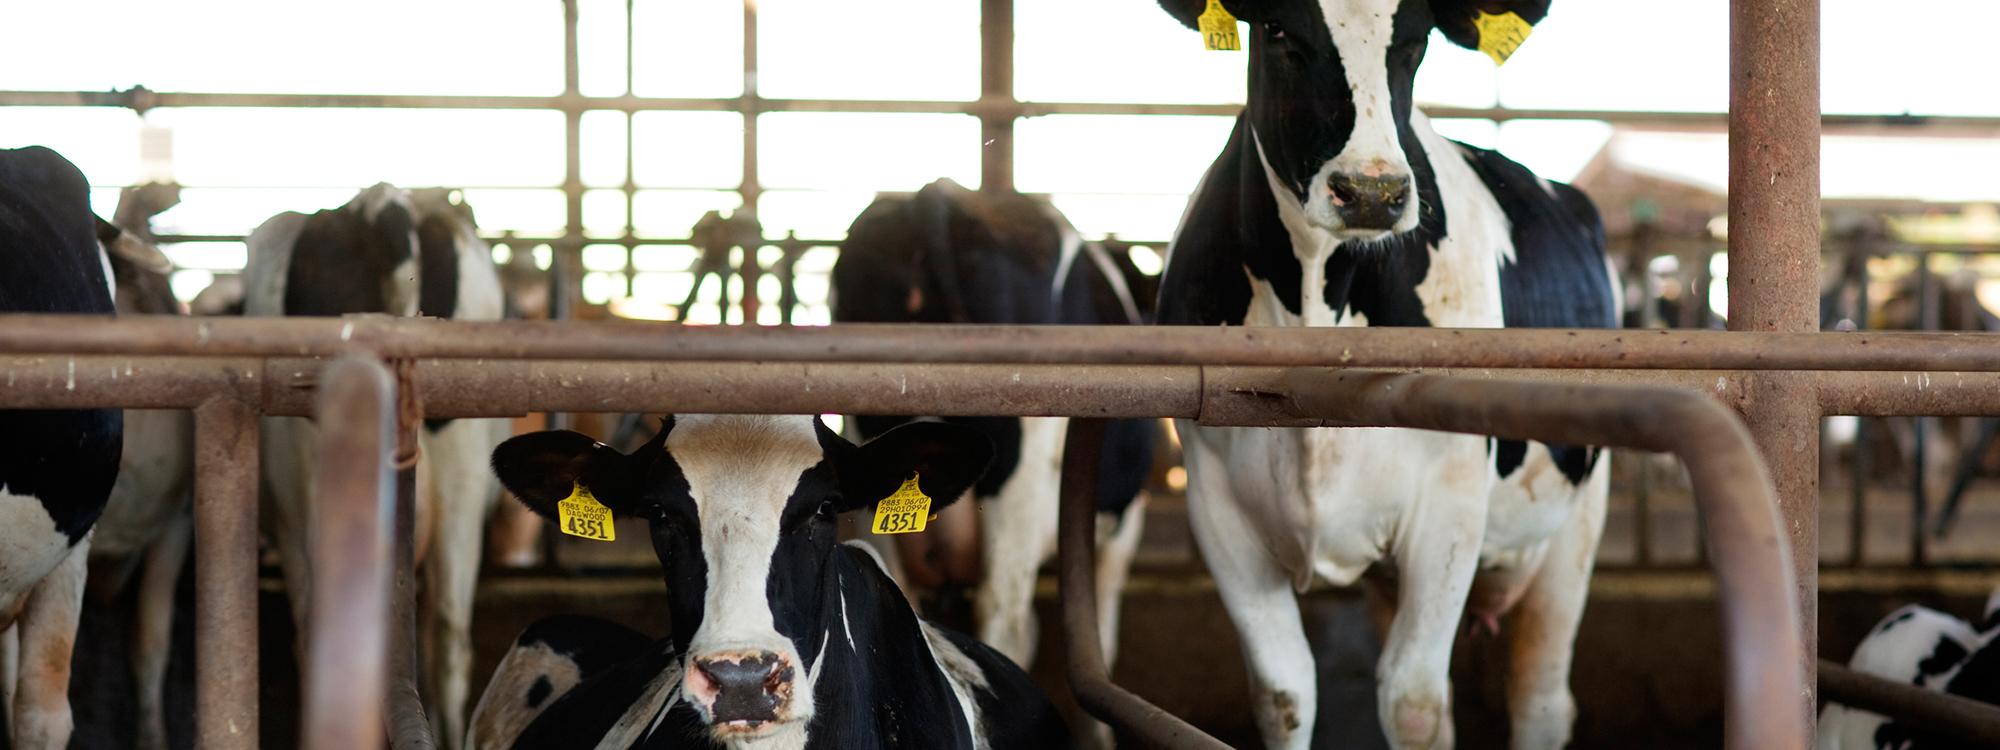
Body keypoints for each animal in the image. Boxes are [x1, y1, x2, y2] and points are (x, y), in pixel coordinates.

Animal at [1151, 1, 1617, 748]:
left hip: (1575, 522)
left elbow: (1411, 700)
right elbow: (1284, 694)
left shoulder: (1451, 499)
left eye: (1417, 41)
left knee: (1539, 696)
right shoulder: (1216, 500)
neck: (1313, 297)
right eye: (1278, 32)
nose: (1372, 192)